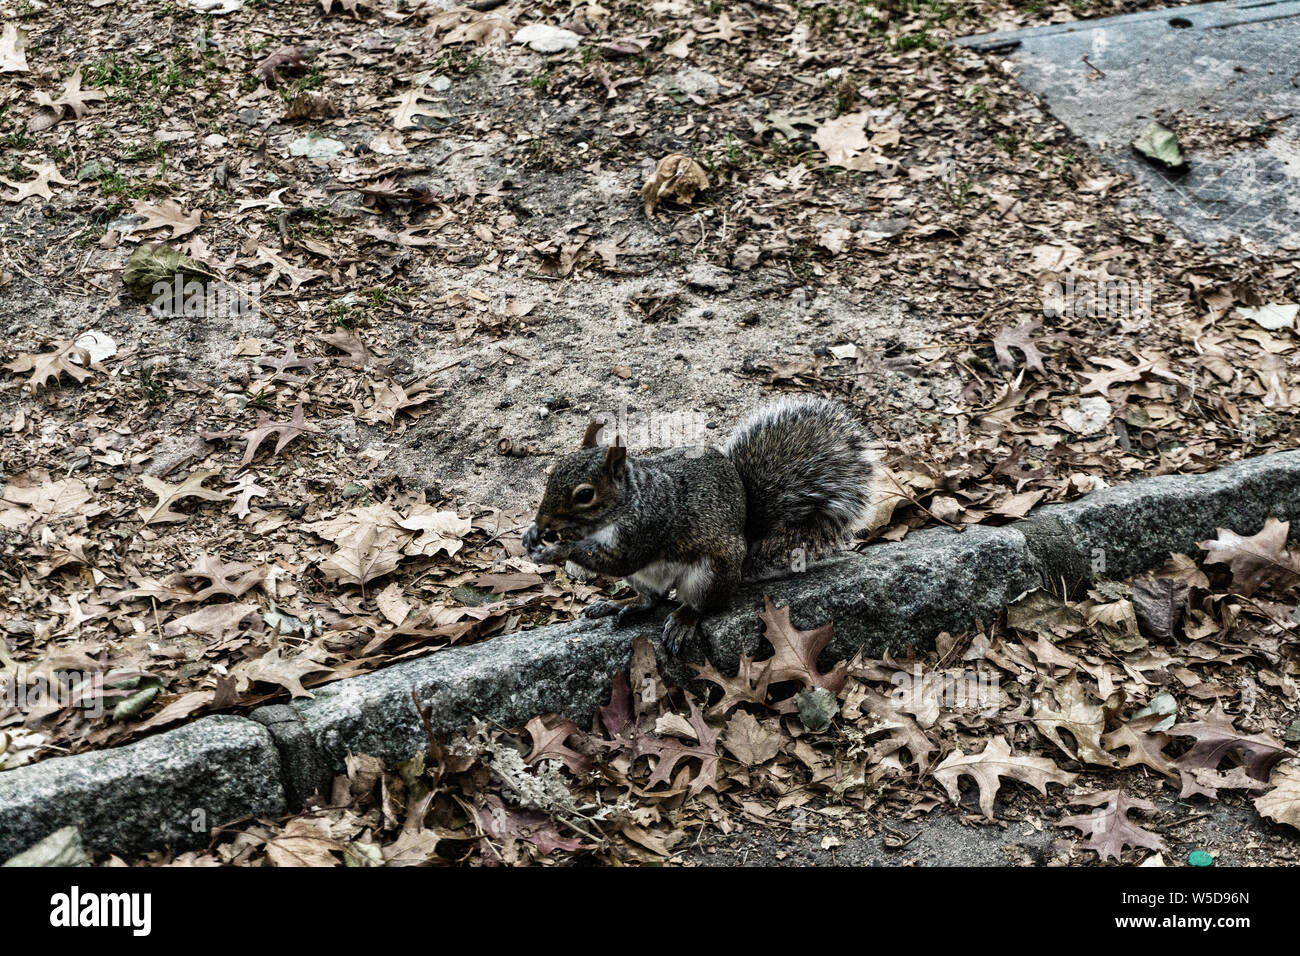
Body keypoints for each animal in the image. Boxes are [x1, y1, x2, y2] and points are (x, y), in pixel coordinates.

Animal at [522, 398, 878, 658]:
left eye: (585, 495)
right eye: (553, 471)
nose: (543, 522)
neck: (627, 502)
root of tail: (743, 551)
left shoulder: (646, 528)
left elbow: (618, 559)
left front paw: (557, 549)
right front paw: (532, 534)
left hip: (709, 574)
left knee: (701, 605)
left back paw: (683, 619)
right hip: (644, 579)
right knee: (651, 600)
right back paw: (619, 605)